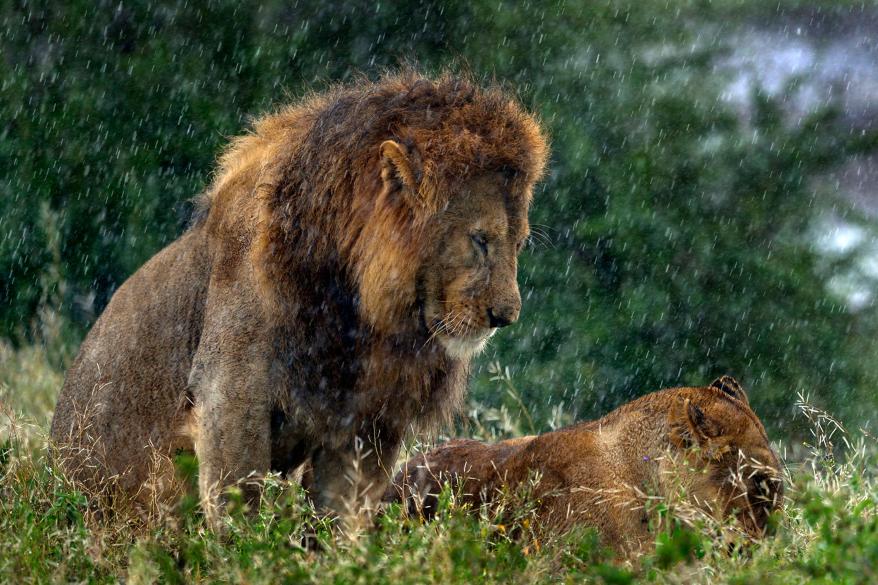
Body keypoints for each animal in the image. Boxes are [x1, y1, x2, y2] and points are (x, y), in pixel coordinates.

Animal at [48, 70, 552, 524]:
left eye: (520, 242)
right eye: (481, 240)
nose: (506, 316)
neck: (361, 311)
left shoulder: (366, 421)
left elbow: (343, 519)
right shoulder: (230, 393)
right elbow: (239, 507)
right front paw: (246, 557)